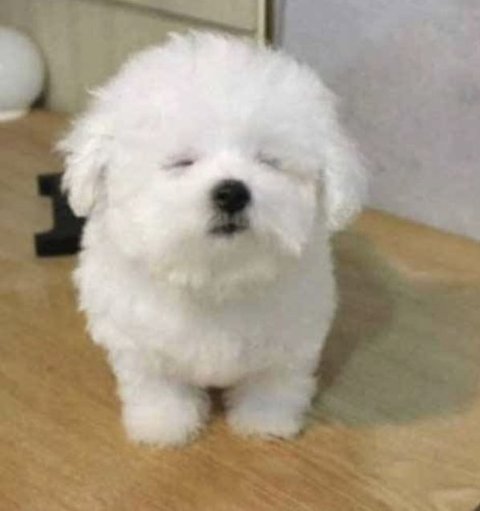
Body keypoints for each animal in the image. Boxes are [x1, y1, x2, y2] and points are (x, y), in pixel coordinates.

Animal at [59, 32, 366, 446]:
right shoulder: (136, 340)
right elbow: (155, 383)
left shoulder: (292, 338)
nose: (232, 192)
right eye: (181, 162)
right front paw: (163, 423)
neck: (216, 274)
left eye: (268, 161)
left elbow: (275, 381)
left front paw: (265, 420)